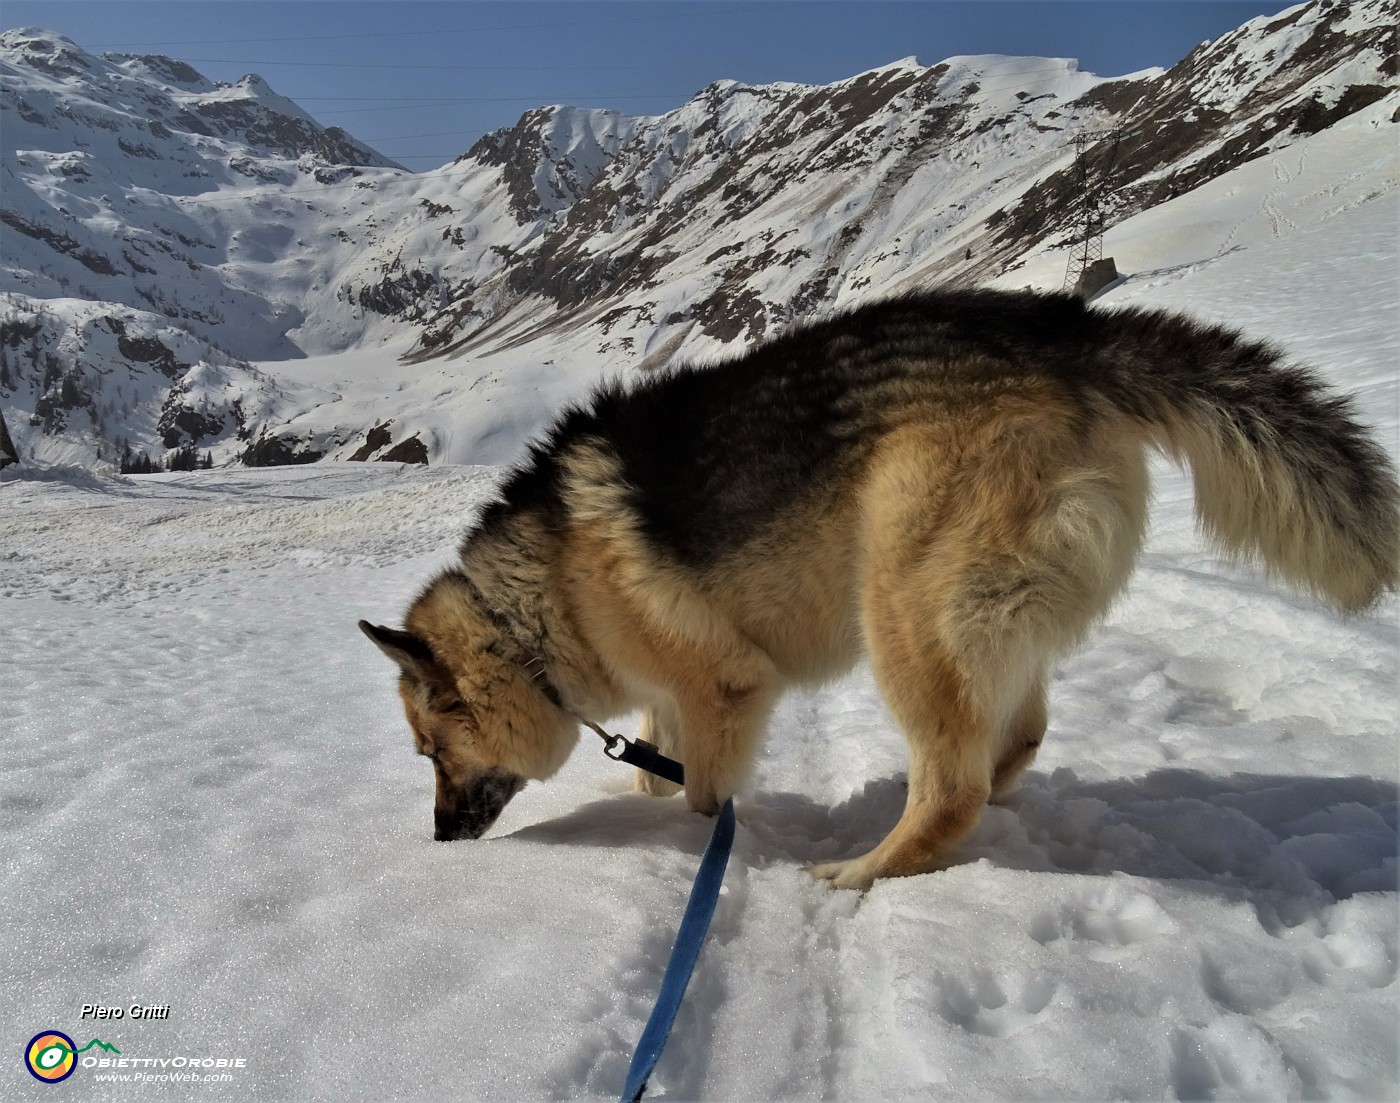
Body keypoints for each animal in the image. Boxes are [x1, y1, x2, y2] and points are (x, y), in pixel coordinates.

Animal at [364, 288, 1400, 890]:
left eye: (432, 750)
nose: (439, 839)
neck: (530, 614)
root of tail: (1073, 335)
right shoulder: (670, 697)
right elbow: (656, 767)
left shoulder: (727, 688)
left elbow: (700, 797)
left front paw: (706, 848)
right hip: (982, 616)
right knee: (1011, 742)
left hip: (904, 606)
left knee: (953, 786)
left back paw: (862, 869)